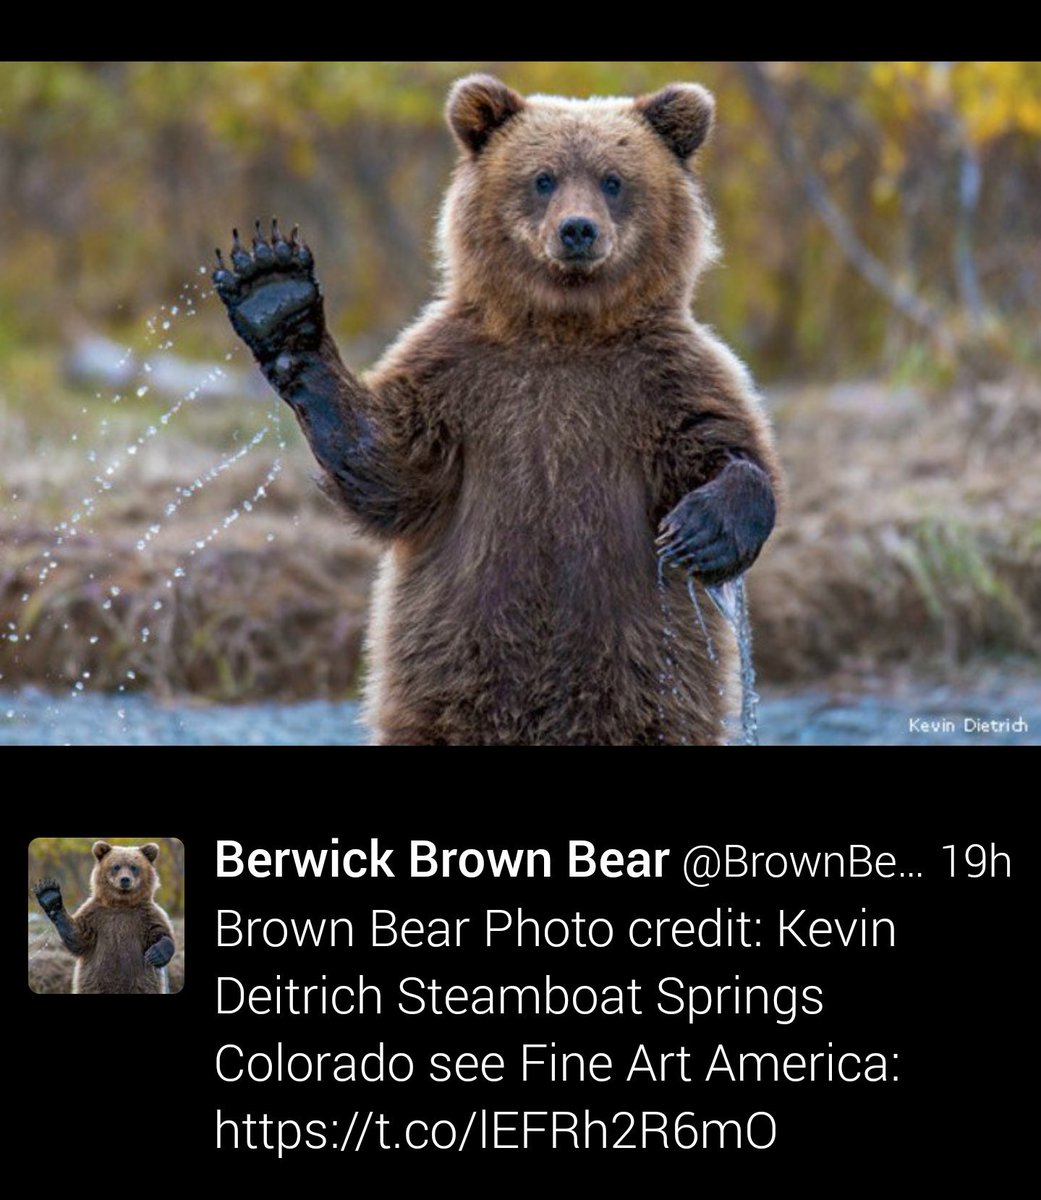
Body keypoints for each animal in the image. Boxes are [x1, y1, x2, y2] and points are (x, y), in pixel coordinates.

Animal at [33, 842, 176, 994]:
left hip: (142, 985)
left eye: (134, 867)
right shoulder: (95, 915)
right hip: (94, 984)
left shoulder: (146, 915)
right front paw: (49, 895)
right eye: (116, 866)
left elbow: (161, 932)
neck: (121, 903)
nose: (125, 879)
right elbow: (78, 936)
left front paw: (156, 954)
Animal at [213, 75, 781, 745]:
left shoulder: (664, 377)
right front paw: (275, 293)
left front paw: (701, 530)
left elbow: (726, 445)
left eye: (613, 179)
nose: (578, 231)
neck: (563, 328)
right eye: (543, 178)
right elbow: (392, 467)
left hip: (649, 678)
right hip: (446, 671)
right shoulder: (459, 375)